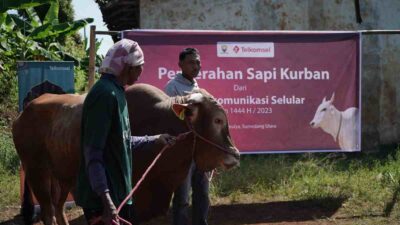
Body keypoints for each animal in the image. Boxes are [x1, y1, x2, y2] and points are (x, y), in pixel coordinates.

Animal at [12, 84, 239, 225]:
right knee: (48, 212)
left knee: (59, 209)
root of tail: (23, 113)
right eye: (218, 120)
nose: (235, 155)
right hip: (37, 172)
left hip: (63, 177)